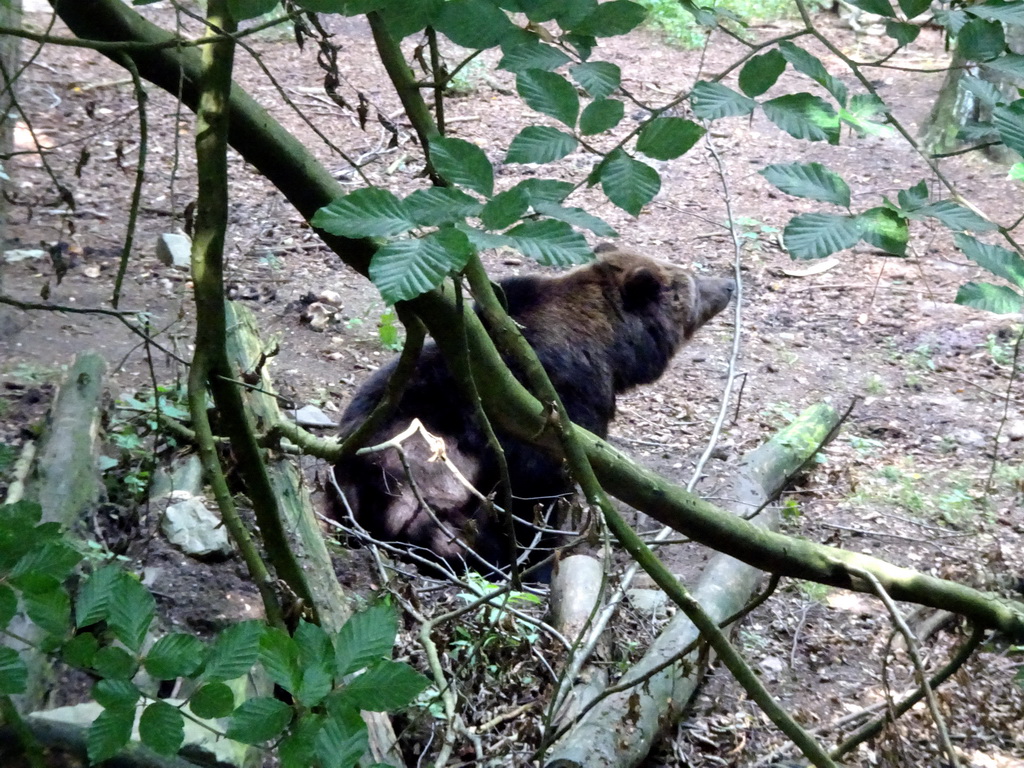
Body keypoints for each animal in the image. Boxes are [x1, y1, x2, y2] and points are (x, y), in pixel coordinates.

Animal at [331, 246, 733, 577]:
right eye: (689, 283)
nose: (728, 284)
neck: (610, 352)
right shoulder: (557, 412)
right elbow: (541, 493)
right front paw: (542, 559)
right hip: (418, 468)